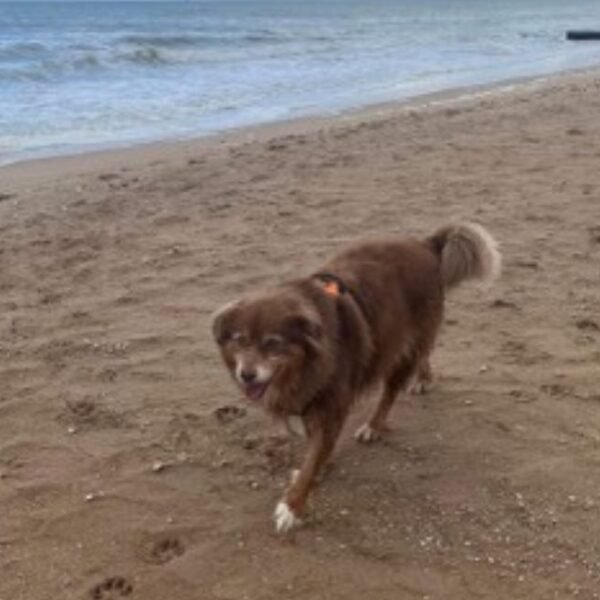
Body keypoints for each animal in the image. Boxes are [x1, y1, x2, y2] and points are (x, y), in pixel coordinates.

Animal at [212, 223, 502, 532]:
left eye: (273, 344)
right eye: (240, 341)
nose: (247, 375)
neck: (306, 365)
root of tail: (425, 244)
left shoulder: (330, 408)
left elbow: (313, 460)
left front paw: (293, 506)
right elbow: (315, 453)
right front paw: (316, 472)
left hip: (398, 344)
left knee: (390, 391)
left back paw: (374, 425)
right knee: (423, 353)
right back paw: (423, 377)